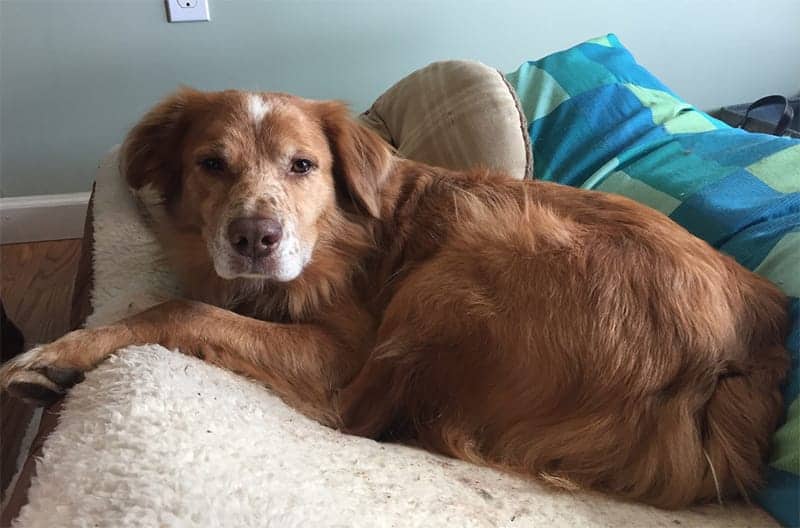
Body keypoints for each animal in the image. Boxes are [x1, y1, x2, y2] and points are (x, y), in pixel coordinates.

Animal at [0, 88, 788, 510]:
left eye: (304, 166)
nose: (255, 237)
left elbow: (182, 311)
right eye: (210, 164)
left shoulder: (340, 349)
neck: (337, 236)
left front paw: (57, 355)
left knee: (353, 417)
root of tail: (743, 356)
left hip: (470, 255)